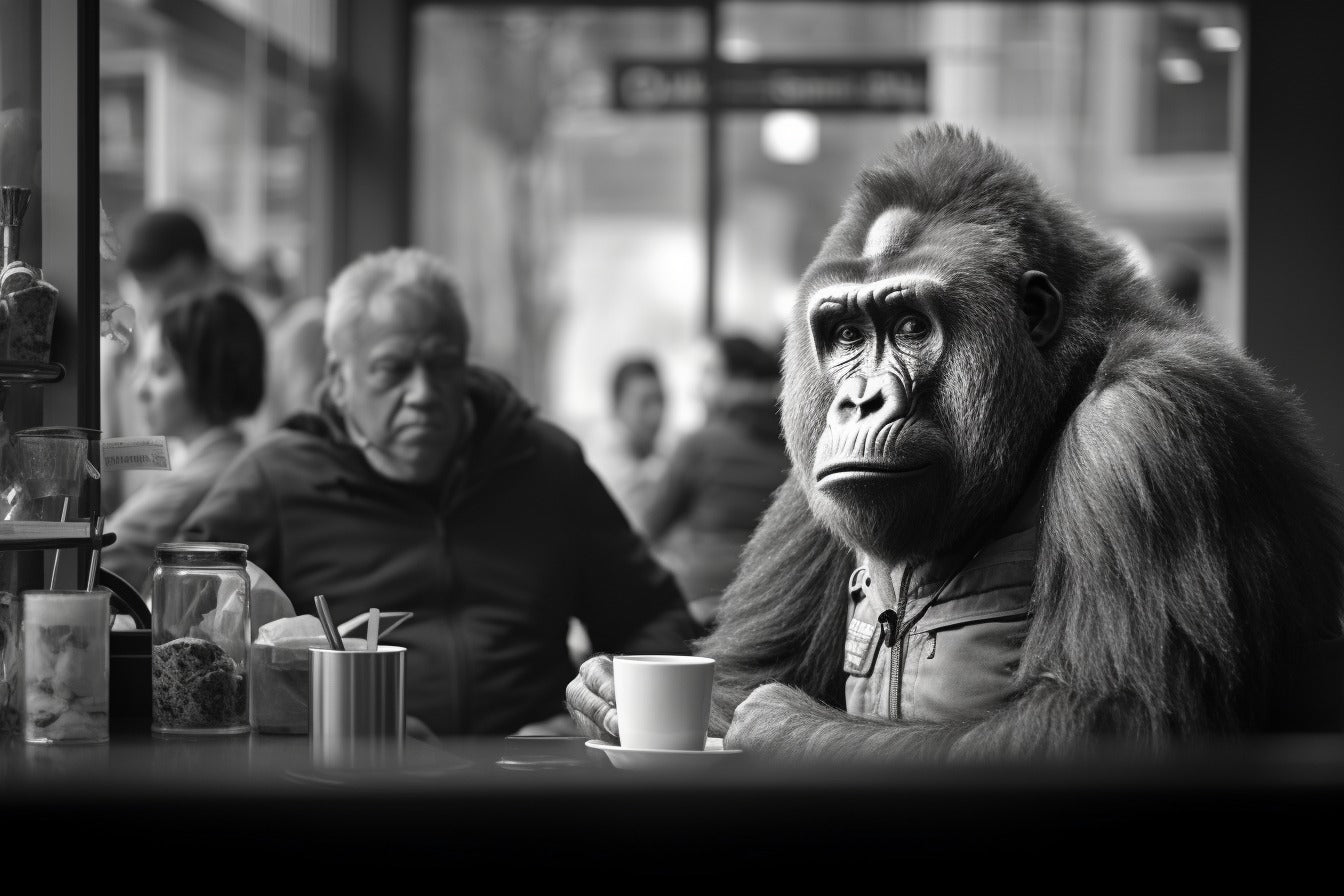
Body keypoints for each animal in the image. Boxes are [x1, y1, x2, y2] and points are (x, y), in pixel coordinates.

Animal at [567, 122, 1344, 763]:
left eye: (911, 325)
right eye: (846, 335)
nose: (860, 401)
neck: (1060, 388)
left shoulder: (1142, 428)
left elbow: (1105, 716)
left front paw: (778, 727)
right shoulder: (807, 483)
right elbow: (737, 672)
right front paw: (611, 695)